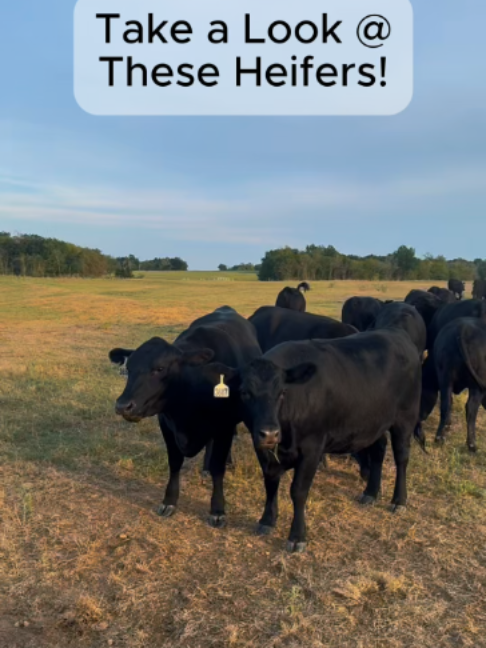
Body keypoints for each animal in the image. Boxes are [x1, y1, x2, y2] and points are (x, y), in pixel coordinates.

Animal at [108, 306, 261, 528]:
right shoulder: (167, 425)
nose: (123, 406)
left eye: (160, 368)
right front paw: (169, 501)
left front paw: (217, 510)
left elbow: (218, 468)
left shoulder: (224, 427)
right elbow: (174, 462)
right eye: (128, 368)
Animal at [218, 330, 423, 552]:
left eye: (282, 392)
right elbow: (270, 482)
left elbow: (298, 491)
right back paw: (370, 492)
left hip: (405, 418)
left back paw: (399, 501)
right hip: (374, 423)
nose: (270, 433)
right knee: (379, 449)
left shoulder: (312, 449)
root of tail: (397, 335)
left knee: (402, 457)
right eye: (245, 392)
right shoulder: (265, 451)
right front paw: (267, 520)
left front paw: (297, 536)